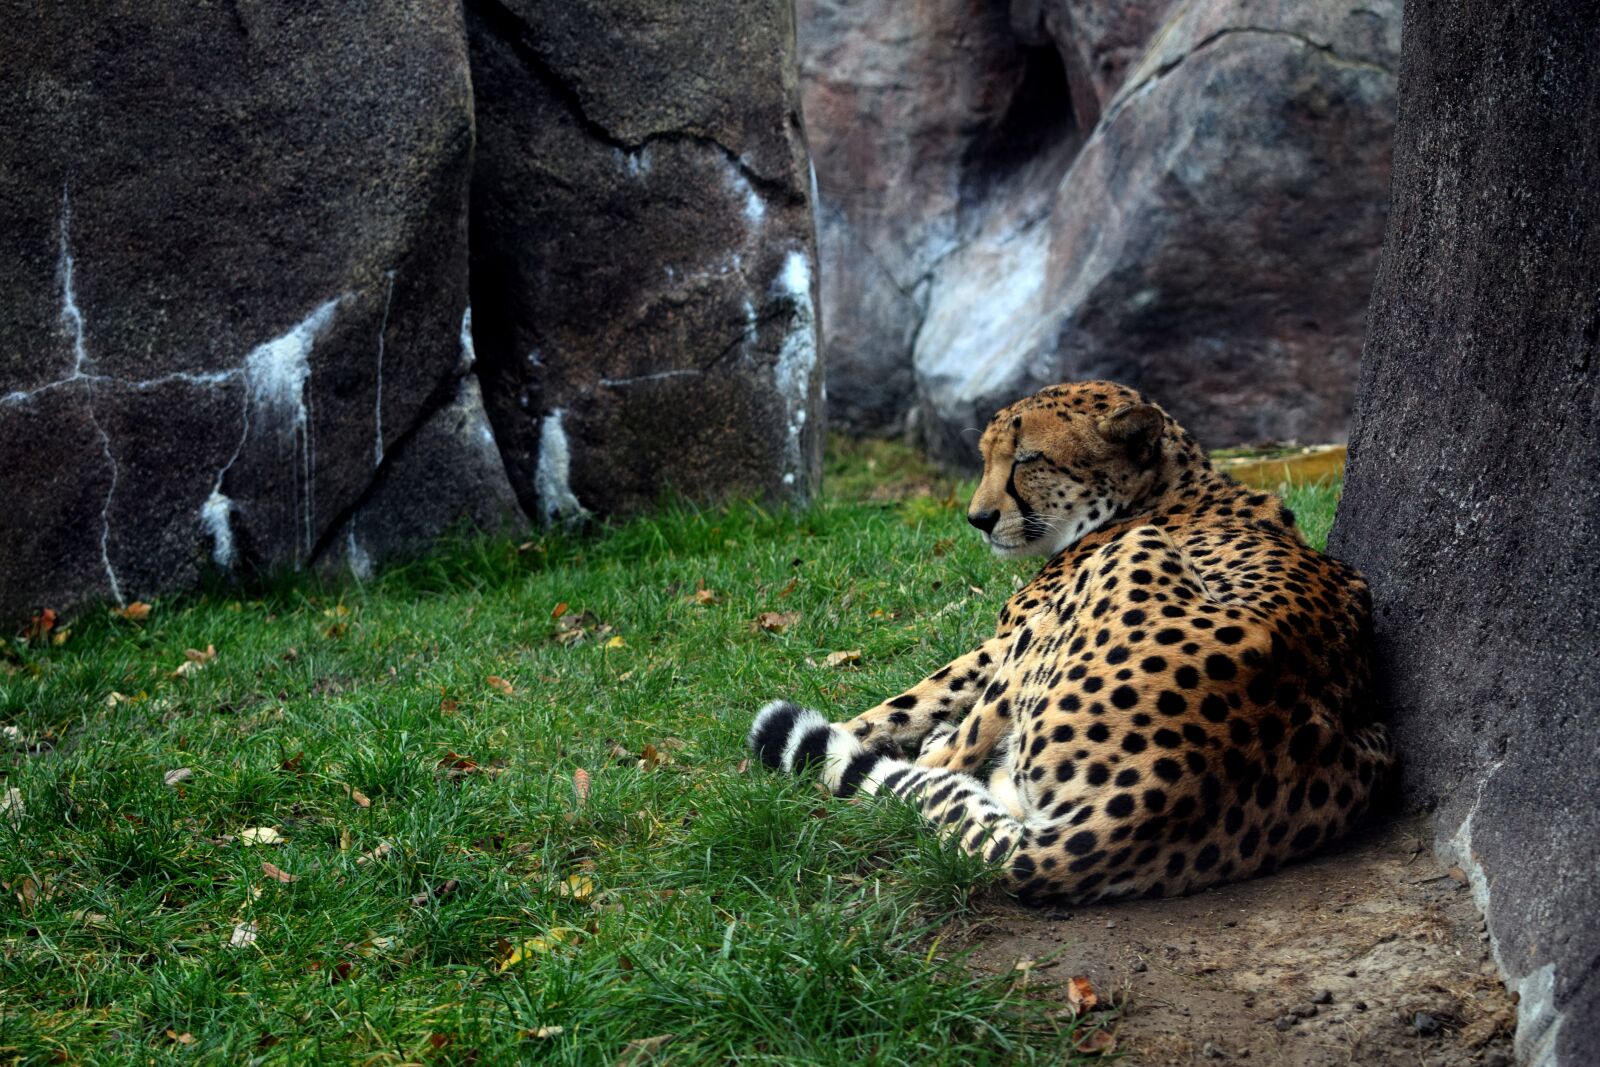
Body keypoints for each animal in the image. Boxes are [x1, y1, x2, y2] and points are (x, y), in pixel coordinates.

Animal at [748, 380, 1394, 904]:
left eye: (1027, 459)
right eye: (985, 458)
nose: (978, 519)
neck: (1166, 489)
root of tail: (1156, 798)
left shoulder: (1016, 632)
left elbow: (920, 695)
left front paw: (844, 732)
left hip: (1123, 560)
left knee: (944, 764)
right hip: (1377, 745)